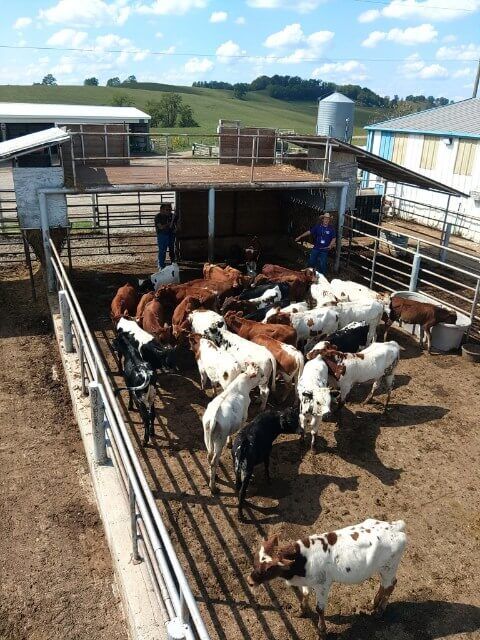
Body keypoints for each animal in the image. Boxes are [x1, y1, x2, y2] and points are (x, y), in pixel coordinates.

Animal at [202, 365, 261, 494]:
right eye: (261, 374)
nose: (263, 380)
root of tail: (213, 417)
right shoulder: (243, 418)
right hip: (219, 440)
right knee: (213, 461)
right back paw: (213, 487)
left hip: (207, 436)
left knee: (209, 455)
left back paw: (215, 477)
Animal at [248, 519, 407, 640]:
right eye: (255, 559)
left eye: (268, 569)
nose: (249, 581)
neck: (301, 561)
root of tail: (395, 525)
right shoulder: (307, 582)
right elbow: (304, 595)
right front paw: (301, 611)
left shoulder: (323, 585)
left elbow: (320, 609)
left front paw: (322, 631)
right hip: (383, 568)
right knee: (385, 585)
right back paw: (373, 604)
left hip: (389, 567)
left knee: (390, 585)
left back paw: (380, 610)